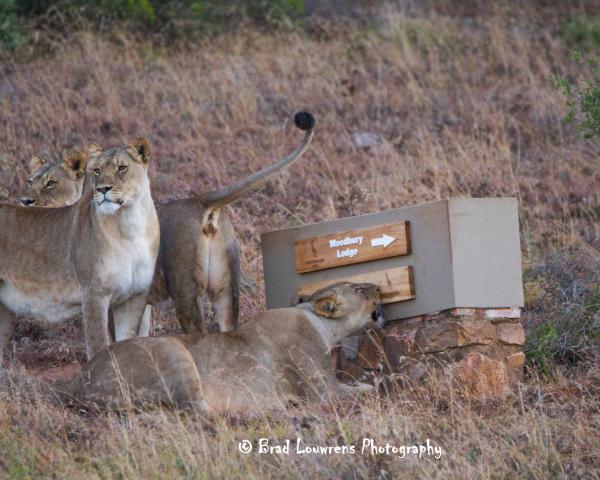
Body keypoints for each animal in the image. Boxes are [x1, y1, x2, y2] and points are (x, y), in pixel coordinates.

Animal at [0, 138, 161, 360]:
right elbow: (99, 346)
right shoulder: (94, 293)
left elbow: (129, 341)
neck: (130, 224)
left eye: (122, 168)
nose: (102, 189)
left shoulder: (134, 296)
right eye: (96, 170)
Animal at [18, 110, 314, 336]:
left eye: (51, 184)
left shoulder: (113, 297)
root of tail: (198, 201)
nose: (25, 200)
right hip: (226, 289)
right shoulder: (139, 300)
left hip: (185, 290)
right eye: (30, 181)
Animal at [58, 284, 382, 414]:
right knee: (193, 410)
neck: (319, 323)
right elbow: (357, 391)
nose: (378, 287)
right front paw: (376, 386)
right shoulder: (320, 390)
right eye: (359, 289)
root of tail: (75, 380)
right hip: (173, 350)